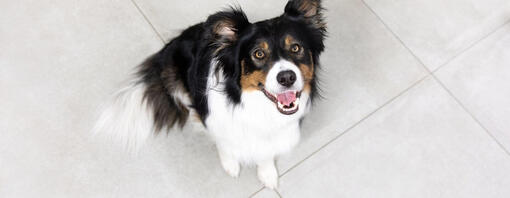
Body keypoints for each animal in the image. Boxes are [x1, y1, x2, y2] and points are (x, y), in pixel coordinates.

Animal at [94, 0, 326, 189]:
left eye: (296, 48)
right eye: (258, 54)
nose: (287, 78)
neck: (255, 106)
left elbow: (267, 152)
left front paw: (267, 173)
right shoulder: (213, 118)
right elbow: (224, 142)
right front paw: (230, 163)